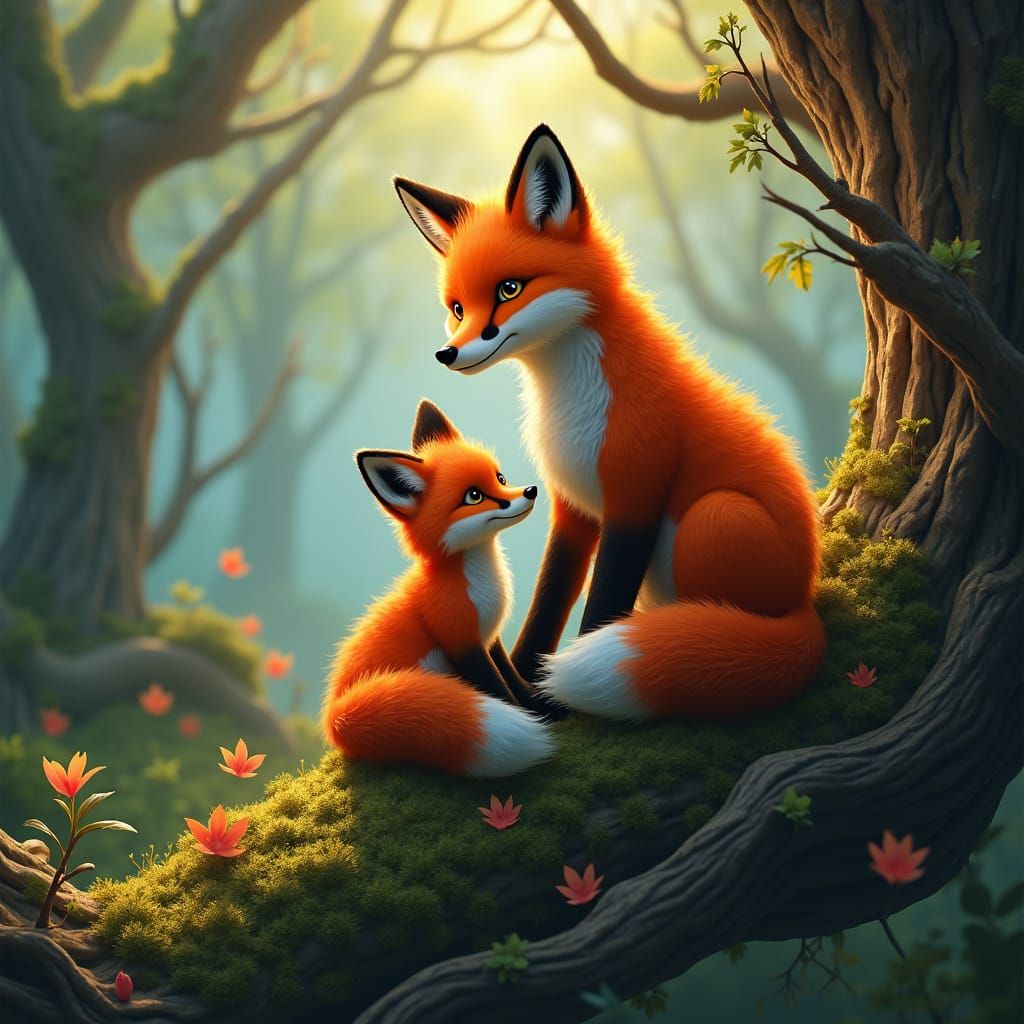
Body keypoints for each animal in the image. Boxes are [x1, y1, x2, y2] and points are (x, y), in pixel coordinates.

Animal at [322, 399, 555, 775]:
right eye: (474, 496)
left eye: (500, 477)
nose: (530, 491)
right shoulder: (460, 640)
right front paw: (530, 716)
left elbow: (511, 676)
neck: (478, 582)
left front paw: (542, 703)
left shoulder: (489, 638)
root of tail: (333, 717)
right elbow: (496, 686)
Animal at [392, 124, 826, 721]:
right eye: (457, 307)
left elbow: (603, 601)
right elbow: (550, 598)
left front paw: (564, 695)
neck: (571, 402)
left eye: (509, 289)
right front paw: (532, 684)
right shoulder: (571, 504)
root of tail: (806, 596)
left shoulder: (634, 493)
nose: (447, 354)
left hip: (715, 517)